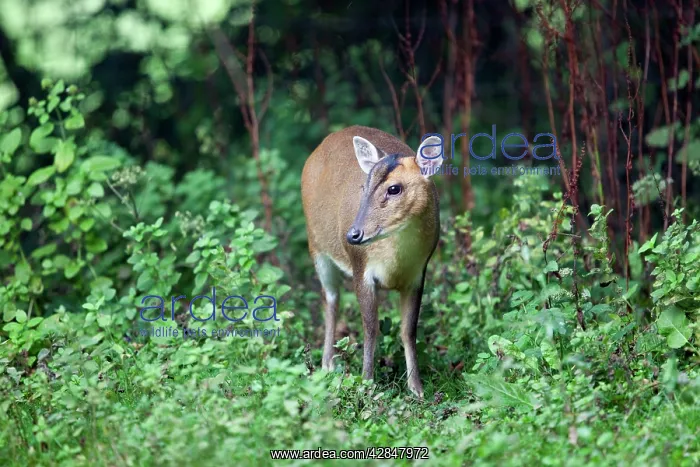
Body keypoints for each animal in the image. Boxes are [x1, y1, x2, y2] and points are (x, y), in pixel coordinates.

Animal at [301, 125, 443, 398]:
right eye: (364, 187)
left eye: (394, 188)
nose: (353, 234)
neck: (395, 262)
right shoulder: (361, 269)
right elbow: (370, 328)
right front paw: (367, 383)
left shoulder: (418, 274)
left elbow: (408, 330)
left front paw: (417, 388)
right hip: (316, 245)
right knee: (330, 297)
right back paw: (327, 364)